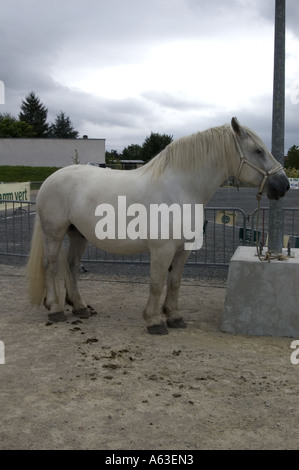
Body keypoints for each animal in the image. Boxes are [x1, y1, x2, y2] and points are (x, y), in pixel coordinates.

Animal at [26, 119, 290, 336]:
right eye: (258, 151)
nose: (284, 185)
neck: (180, 189)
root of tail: (49, 180)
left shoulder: (183, 250)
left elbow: (174, 282)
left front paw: (174, 316)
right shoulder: (162, 250)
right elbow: (157, 282)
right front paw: (154, 321)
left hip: (78, 235)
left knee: (71, 266)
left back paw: (79, 307)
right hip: (54, 233)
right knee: (51, 266)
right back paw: (56, 309)